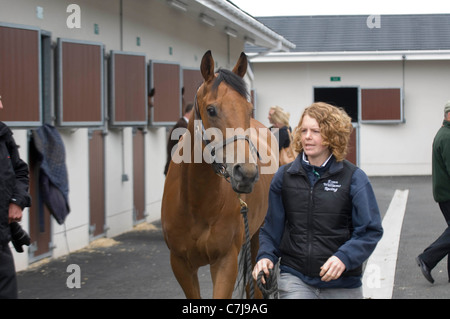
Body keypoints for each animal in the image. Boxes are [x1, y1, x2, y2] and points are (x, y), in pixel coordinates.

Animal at [160, 50, 276, 300]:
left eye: (249, 109)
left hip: (258, 236)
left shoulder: (225, 262)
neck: (196, 202)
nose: (246, 173)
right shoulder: (180, 264)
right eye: (211, 110)